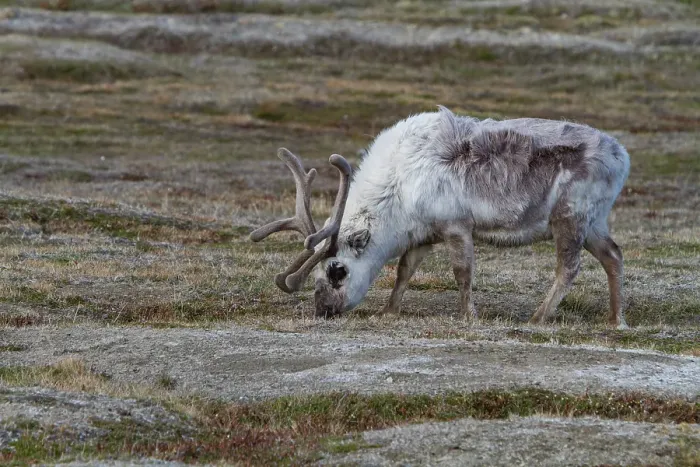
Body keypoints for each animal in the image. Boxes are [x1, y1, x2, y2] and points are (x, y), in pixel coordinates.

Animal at [250, 106, 631, 328]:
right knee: (613, 255)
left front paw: (468, 315)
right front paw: (388, 311)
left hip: (569, 218)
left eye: (337, 270)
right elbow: (404, 271)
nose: (323, 309)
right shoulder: (423, 235)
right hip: (594, 223)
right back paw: (615, 320)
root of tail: (622, 155)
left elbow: (462, 272)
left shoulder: (456, 226)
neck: (397, 188)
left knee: (569, 268)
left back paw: (537, 318)